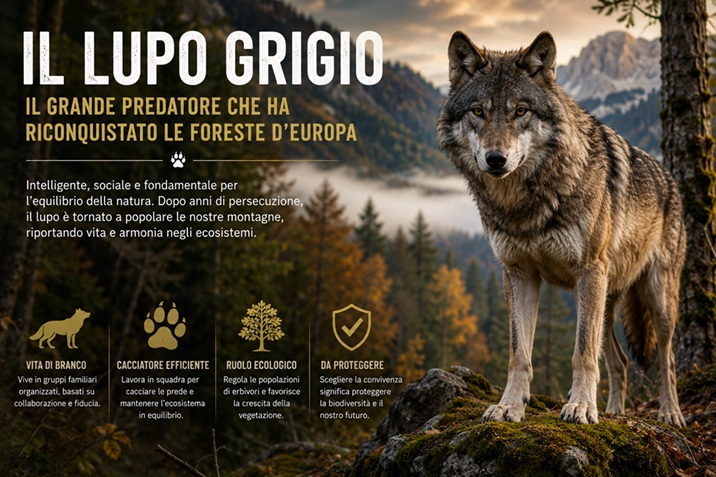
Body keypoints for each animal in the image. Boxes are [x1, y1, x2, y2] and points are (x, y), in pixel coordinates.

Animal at [437, 31, 686, 426]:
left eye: (520, 111)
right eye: (478, 111)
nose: (496, 159)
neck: (525, 205)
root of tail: (670, 180)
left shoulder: (588, 271)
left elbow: (582, 352)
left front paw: (581, 407)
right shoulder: (519, 274)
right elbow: (518, 353)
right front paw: (509, 406)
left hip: (656, 298)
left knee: (667, 357)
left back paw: (670, 412)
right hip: (606, 301)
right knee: (620, 361)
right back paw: (614, 411)